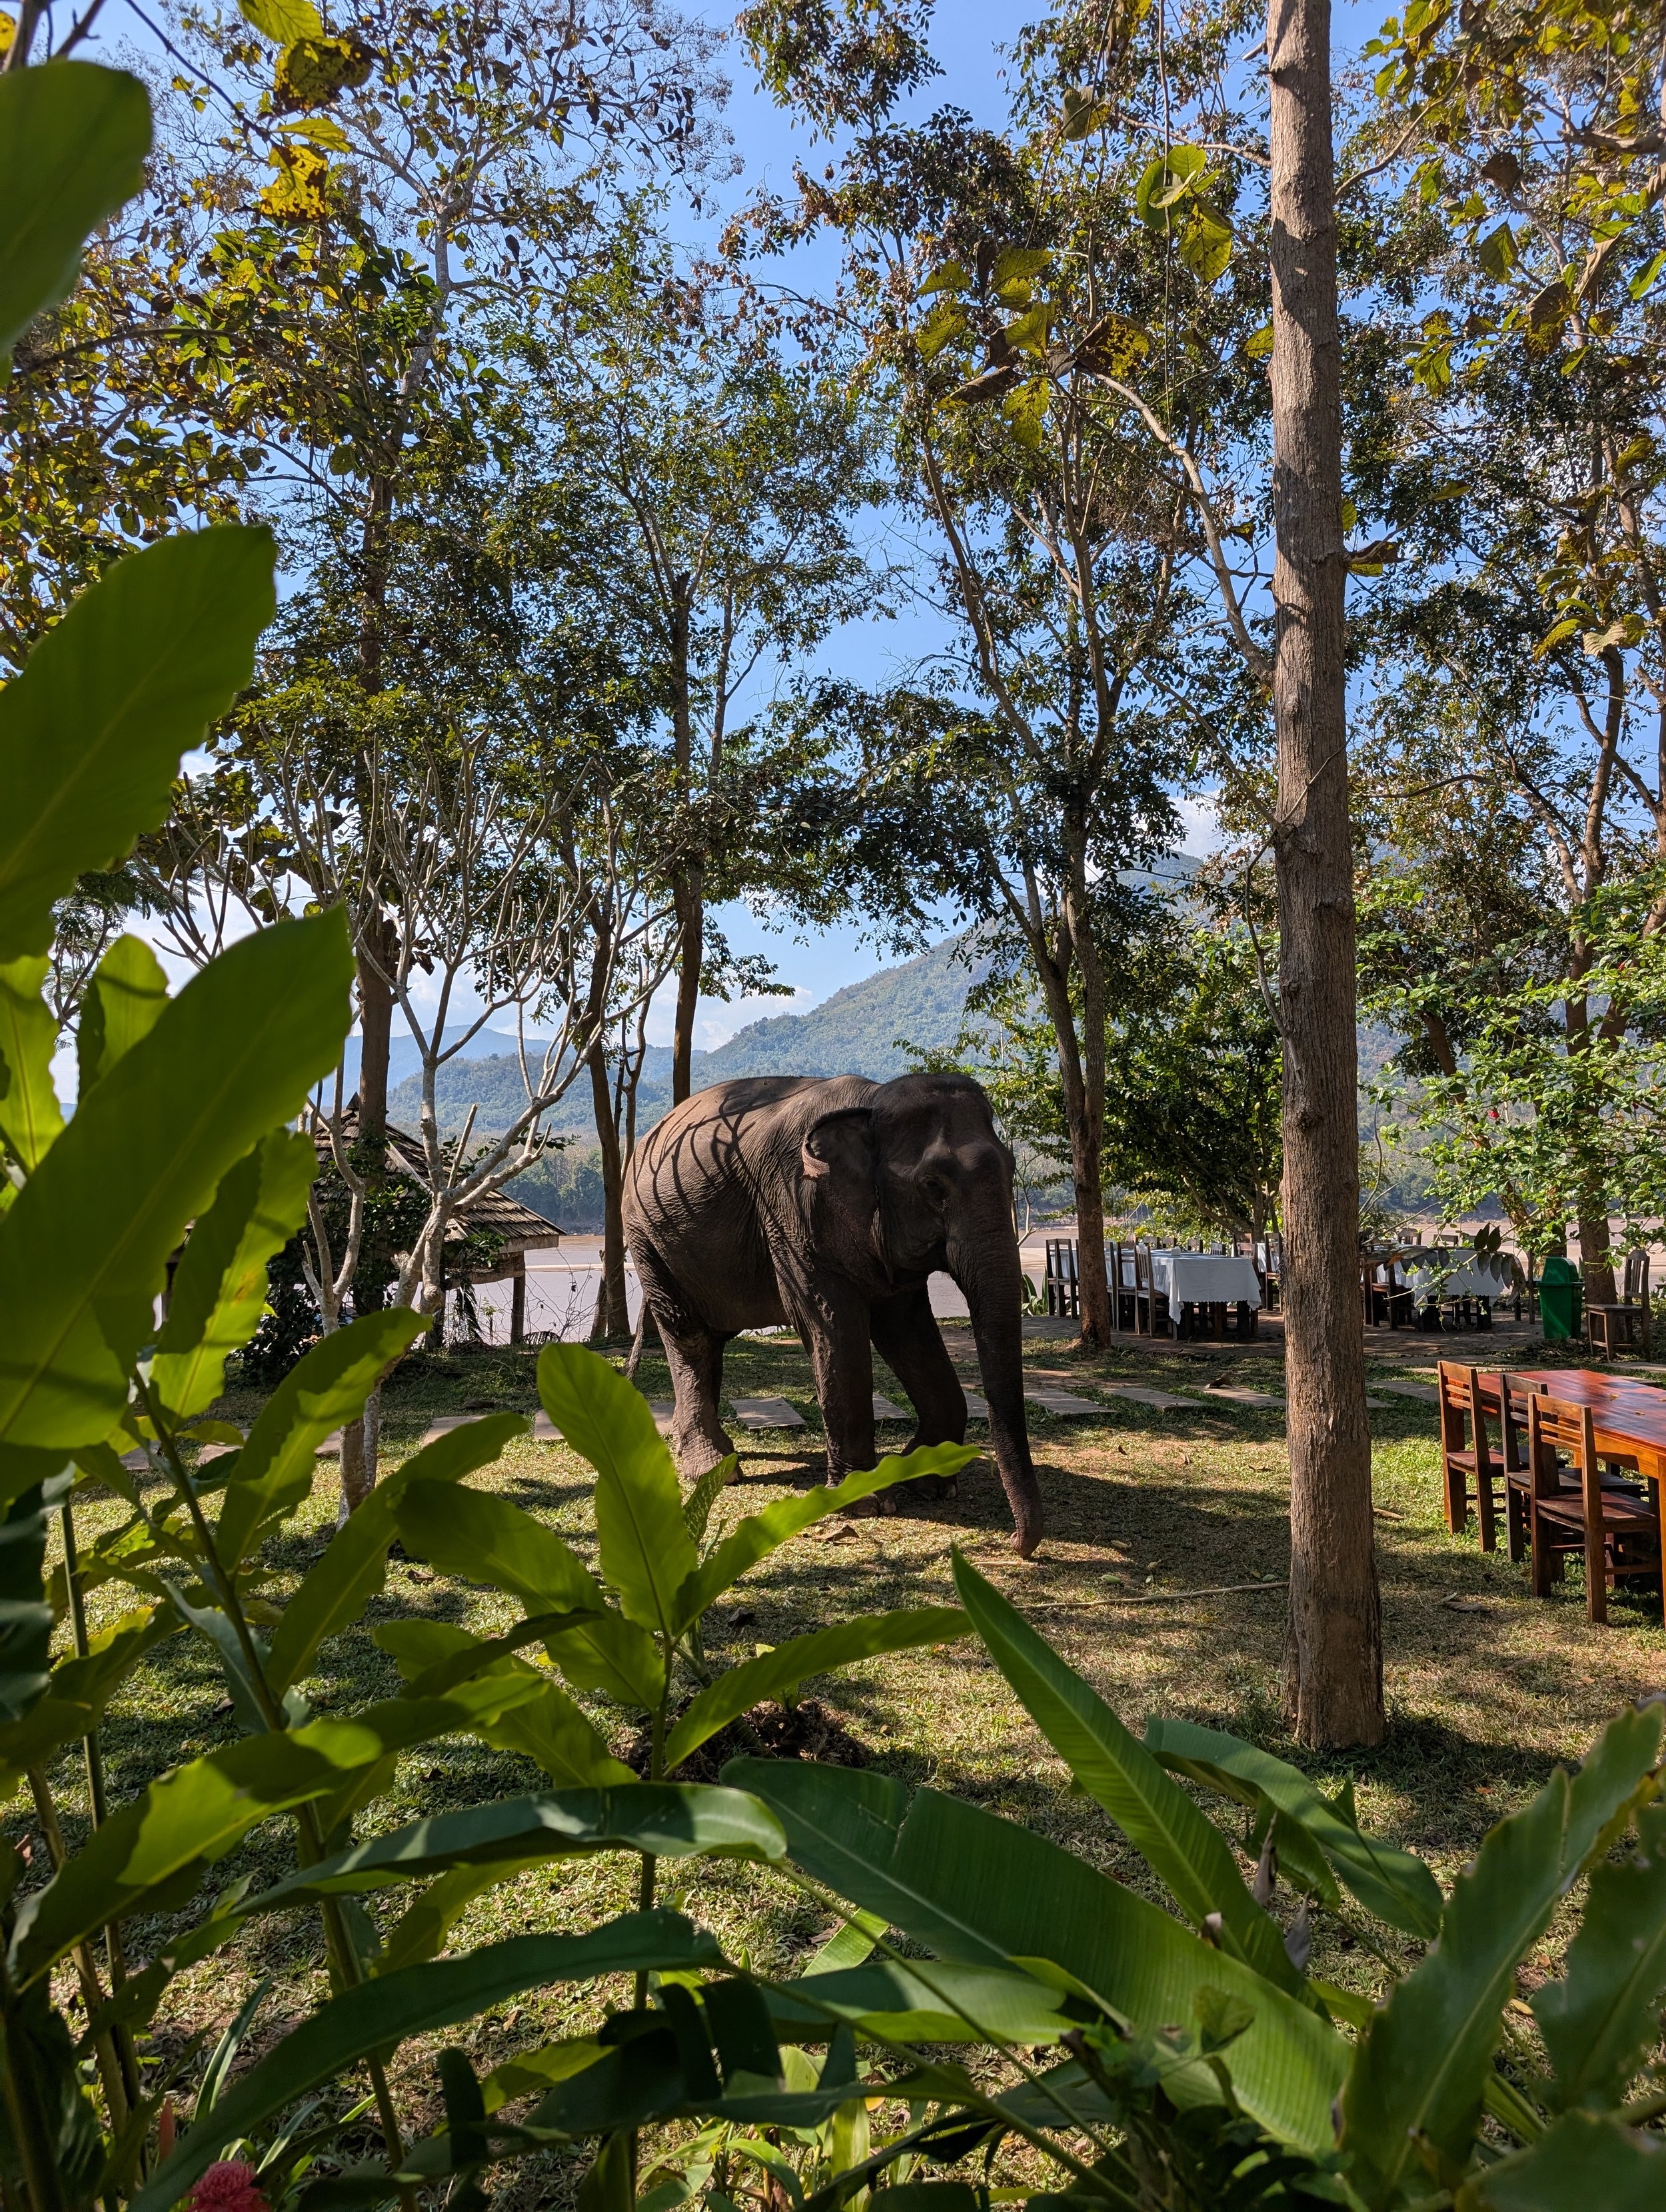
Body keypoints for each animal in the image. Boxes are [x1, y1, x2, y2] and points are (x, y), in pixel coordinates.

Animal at [622, 1070, 1044, 1557]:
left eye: (1011, 1169)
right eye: (933, 1185)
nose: (1017, 1543)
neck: (871, 1101)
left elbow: (907, 1328)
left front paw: (928, 1482)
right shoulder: (792, 1209)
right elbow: (832, 1324)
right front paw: (866, 1503)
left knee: (711, 1344)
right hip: (646, 1238)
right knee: (687, 1336)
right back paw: (715, 1470)